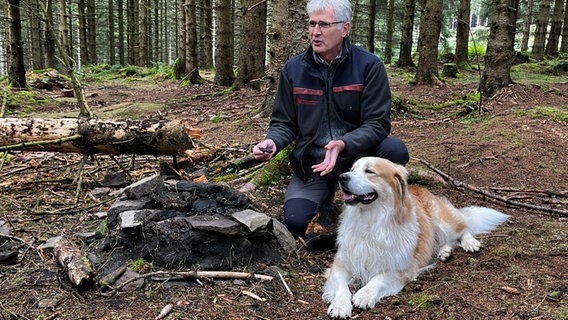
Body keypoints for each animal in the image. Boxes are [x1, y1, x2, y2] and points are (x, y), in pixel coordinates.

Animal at [322, 157, 508, 318]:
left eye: (369, 171)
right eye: (352, 169)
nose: (341, 177)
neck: (370, 222)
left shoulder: (402, 268)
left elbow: (378, 278)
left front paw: (365, 294)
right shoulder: (340, 265)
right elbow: (341, 287)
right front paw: (340, 305)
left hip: (443, 222)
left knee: (463, 228)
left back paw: (470, 242)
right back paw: (444, 252)